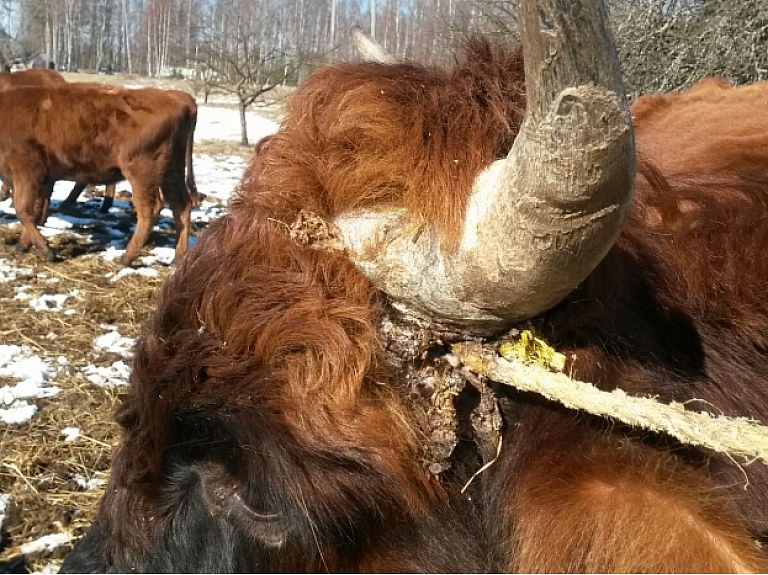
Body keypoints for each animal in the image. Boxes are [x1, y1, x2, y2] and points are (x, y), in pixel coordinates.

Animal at [0, 82, 194, 266]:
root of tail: (178, 101)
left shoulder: (27, 173)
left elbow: (23, 210)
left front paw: (46, 250)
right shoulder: (36, 178)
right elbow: (33, 209)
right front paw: (23, 245)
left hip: (142, 172)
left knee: (150, 210)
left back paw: (127, 258)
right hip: (172, 171)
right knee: (181, 206)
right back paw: (178, 259)